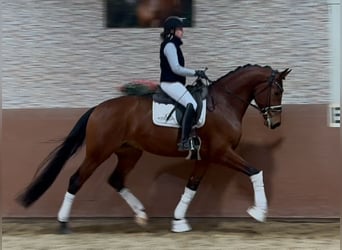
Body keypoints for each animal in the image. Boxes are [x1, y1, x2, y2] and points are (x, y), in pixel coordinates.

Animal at [17, 64, 292, 232]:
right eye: (277, 91)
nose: (276, 123)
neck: (224, 103)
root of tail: (98, 108)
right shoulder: (221, 152)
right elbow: (256, 172)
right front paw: (259, 212)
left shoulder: (205, 157)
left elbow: (191, 186)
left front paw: (179, 221)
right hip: (98, 153)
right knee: (76, 180)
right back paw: (64, 223)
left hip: (129, 152)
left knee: (116, 180)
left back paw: (140, 214)